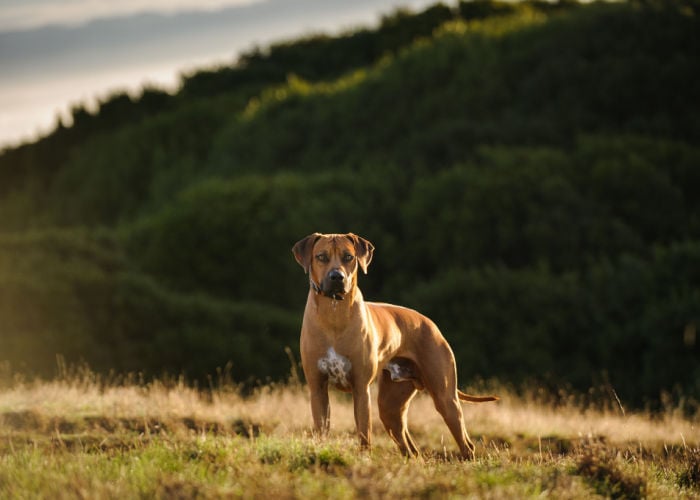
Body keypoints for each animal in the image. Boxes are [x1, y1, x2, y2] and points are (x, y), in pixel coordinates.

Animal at [290, 232, 498, 458]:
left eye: (348, 257)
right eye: (321, 256)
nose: (337, 277)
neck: (334, 313)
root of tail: (431, 323)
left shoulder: (361, 388)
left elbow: (364, 434)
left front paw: (364, 459)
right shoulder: (318, 388)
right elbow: (322, 429)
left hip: (445, 397)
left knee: (466, 443)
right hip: (390, 407)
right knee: (412, 450)